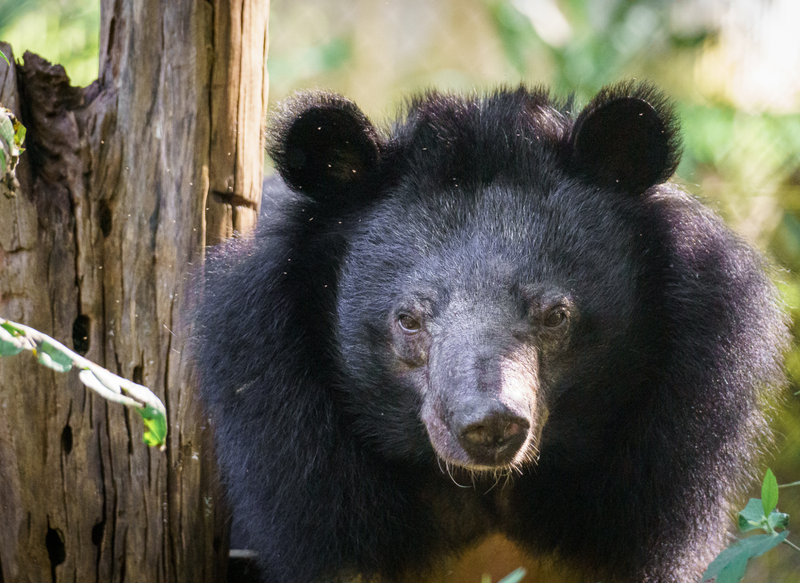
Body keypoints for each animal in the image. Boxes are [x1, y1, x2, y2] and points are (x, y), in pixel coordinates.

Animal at [192, 81, 788, 583]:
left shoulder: (658, 469)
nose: (490, 426)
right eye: (409, 319)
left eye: (555, 315)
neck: (487, 489)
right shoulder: (302, 464)